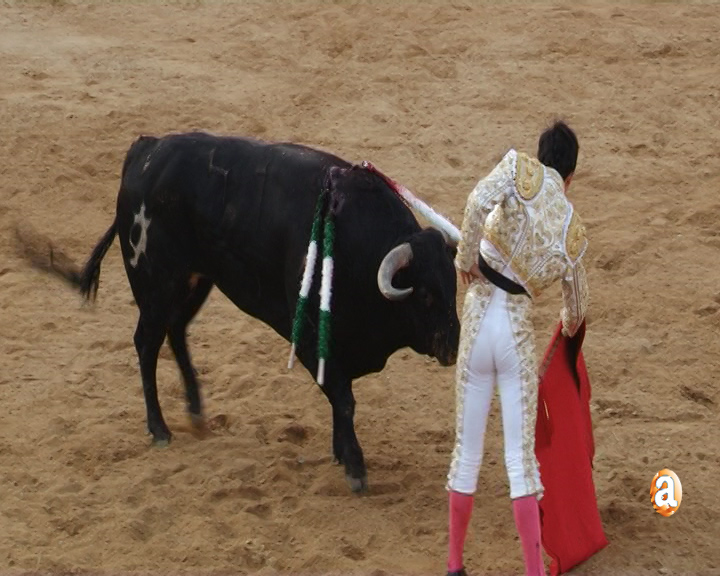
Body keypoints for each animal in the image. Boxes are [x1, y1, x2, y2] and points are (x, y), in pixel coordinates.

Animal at [23, 133, 462, 492]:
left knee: (175, 331)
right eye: (425, 294)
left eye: (454, 287)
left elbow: (342, 400)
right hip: (156, 283)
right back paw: (159, 428)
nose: (453, 347)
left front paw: (341, 453)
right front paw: (355, 466)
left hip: (197, 277)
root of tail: (145, 150)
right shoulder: (308, 336)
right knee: (147, 343)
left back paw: (196, 410)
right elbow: (344, 398)